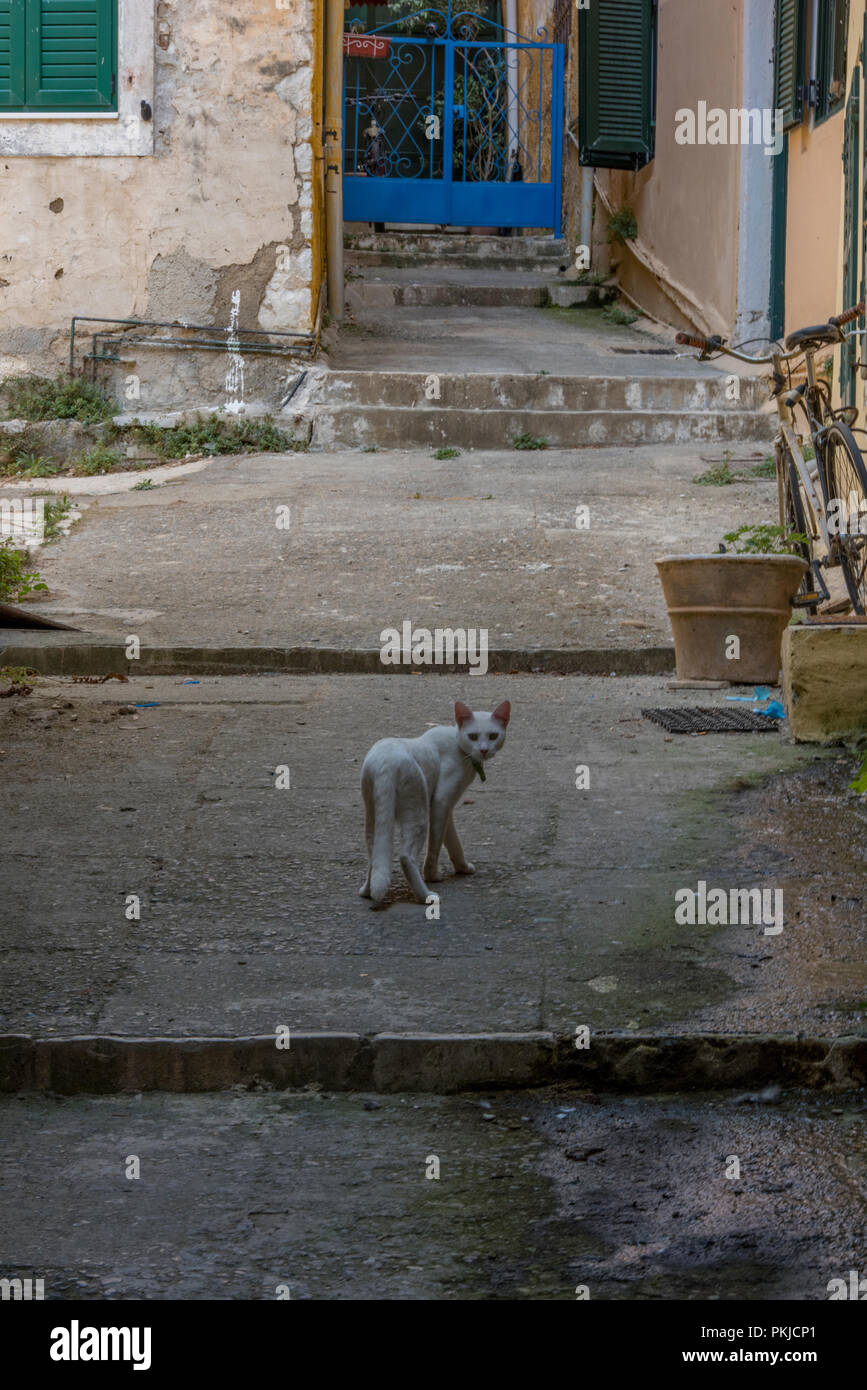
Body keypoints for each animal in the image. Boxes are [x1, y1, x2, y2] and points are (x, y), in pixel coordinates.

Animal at [358, 700, 508, 906]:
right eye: (473, 736)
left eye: (493, 736)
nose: (484, 750)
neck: (458, 745)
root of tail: (385, 764)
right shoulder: (441, 801)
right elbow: (435, 845)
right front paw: (433, 875)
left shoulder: (446, 808)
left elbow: (452, 840)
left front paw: (462, 867)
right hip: (418, 812)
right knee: (406, 857)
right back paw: (426, 896)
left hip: (373, 814)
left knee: (374, 855)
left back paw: (367, 891)